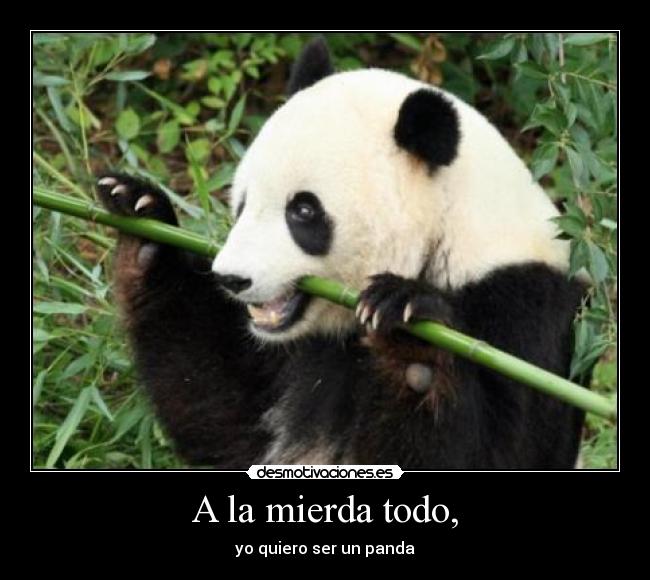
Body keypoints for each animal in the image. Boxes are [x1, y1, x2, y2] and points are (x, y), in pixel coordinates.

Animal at [96, 38, 588, 469]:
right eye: (242, 204)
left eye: (303, 210)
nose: (232, 279)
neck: (451, 229)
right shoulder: (292, 359)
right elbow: (222, 412)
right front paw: (142, 218)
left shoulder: (521, 307)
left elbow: (504, 449)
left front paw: (411, 337)